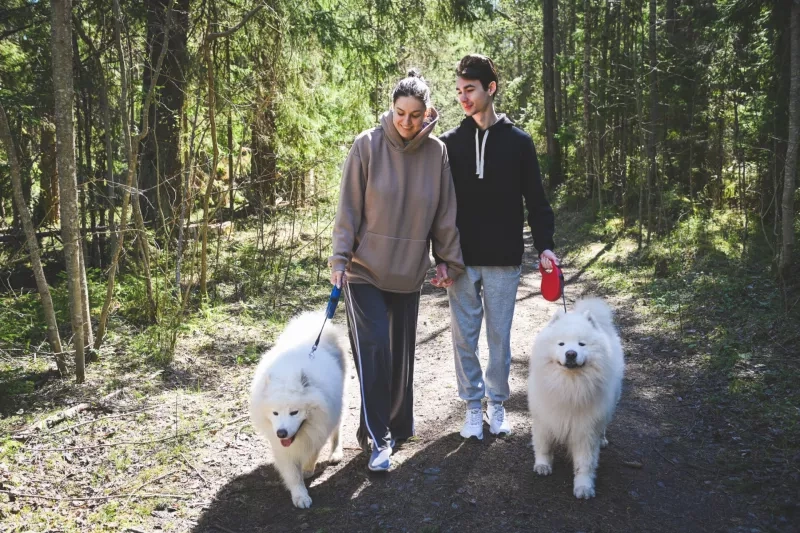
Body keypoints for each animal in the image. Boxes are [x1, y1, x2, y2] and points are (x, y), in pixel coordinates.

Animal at [250, 312, 346, 508]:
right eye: (275, 413)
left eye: (294, 412)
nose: (281, 432)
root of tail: (313, 320)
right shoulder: (280, 446)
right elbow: (292, 474)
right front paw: (300, 496)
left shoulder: (319, 428)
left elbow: (313, 452)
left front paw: (308, 469)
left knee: (337, 428)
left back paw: (335, 452)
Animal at [532, 298, 624, 496]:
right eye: (561, 344)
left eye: (582, 344)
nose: (571, 353)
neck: (570, 385)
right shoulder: (543, 419)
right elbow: (543, 445)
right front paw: (542, 465)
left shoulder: (586, 430)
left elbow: (585, 462)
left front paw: (583, 486)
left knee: (603, 426)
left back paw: (603, 439)